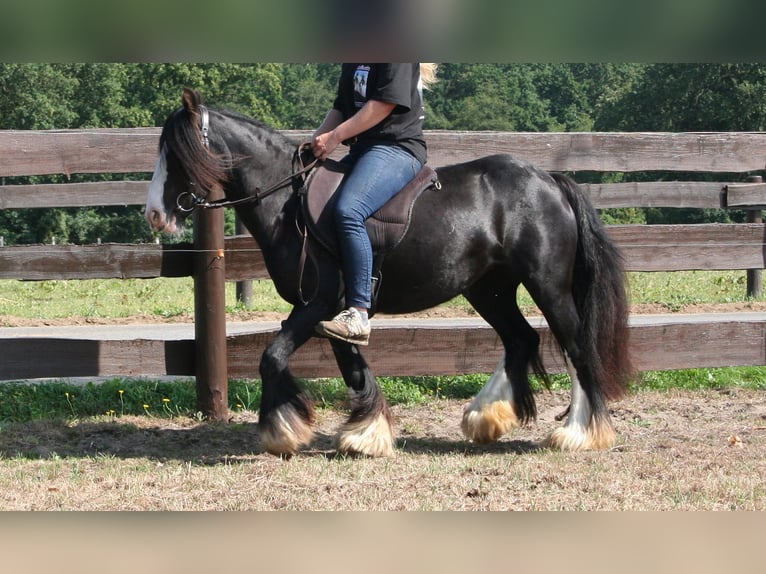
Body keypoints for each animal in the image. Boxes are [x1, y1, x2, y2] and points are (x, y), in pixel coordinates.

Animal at [146, 89, 636, 460]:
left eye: (178, 153)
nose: (154, 214)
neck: (289, 202)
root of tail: (550, 181)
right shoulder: (334, 313)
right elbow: (353, 367)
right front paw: (366, 433)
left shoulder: (319, 303)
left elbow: (273, 357)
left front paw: (282, 431)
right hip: (489, 290)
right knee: (521, 339)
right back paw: (485, 416)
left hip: (547, 285)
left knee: (576, 346)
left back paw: (579, 431)